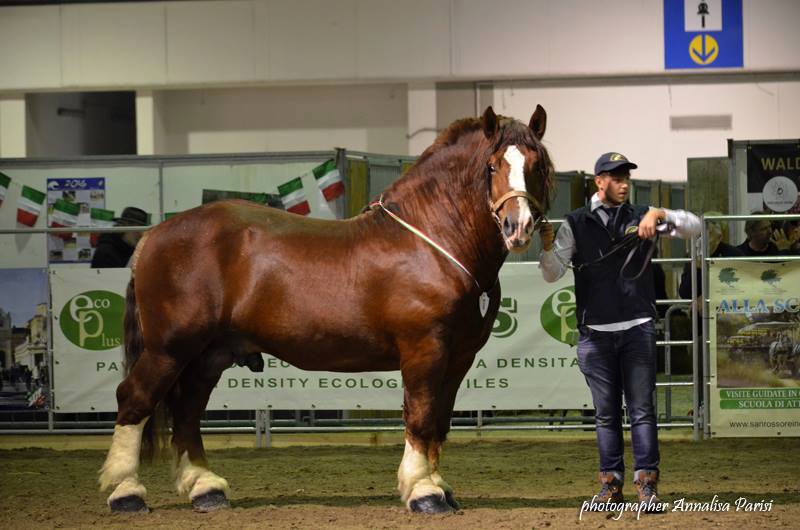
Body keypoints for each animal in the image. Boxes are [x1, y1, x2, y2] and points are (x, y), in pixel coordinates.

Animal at [98, 106, 552, 512]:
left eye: (537, 164)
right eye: (492, 166)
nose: (518, 227)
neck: (432, 242)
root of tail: (153, 236)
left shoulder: (459, 357)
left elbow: (439, 421)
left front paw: (439, 487)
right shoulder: (424, 350)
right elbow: (421, 416)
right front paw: (423, 493)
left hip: (209, 356)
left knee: (188, 411)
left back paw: (205, 489)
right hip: (169, 349)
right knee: (135, 399)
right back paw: (125, 492)